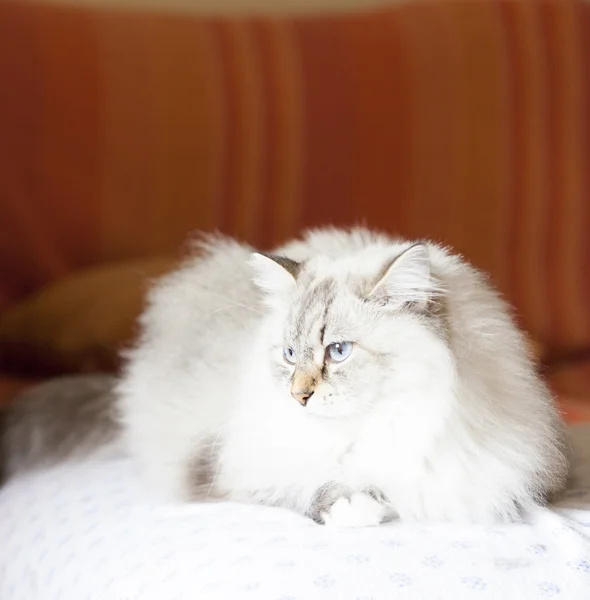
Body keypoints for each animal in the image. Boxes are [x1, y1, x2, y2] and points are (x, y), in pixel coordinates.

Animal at [1, 227, 572, 528]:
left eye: (338, 352)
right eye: (290, 353)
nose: (298, 397)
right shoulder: (235, 469)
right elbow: (313, 487)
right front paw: (356, 508)